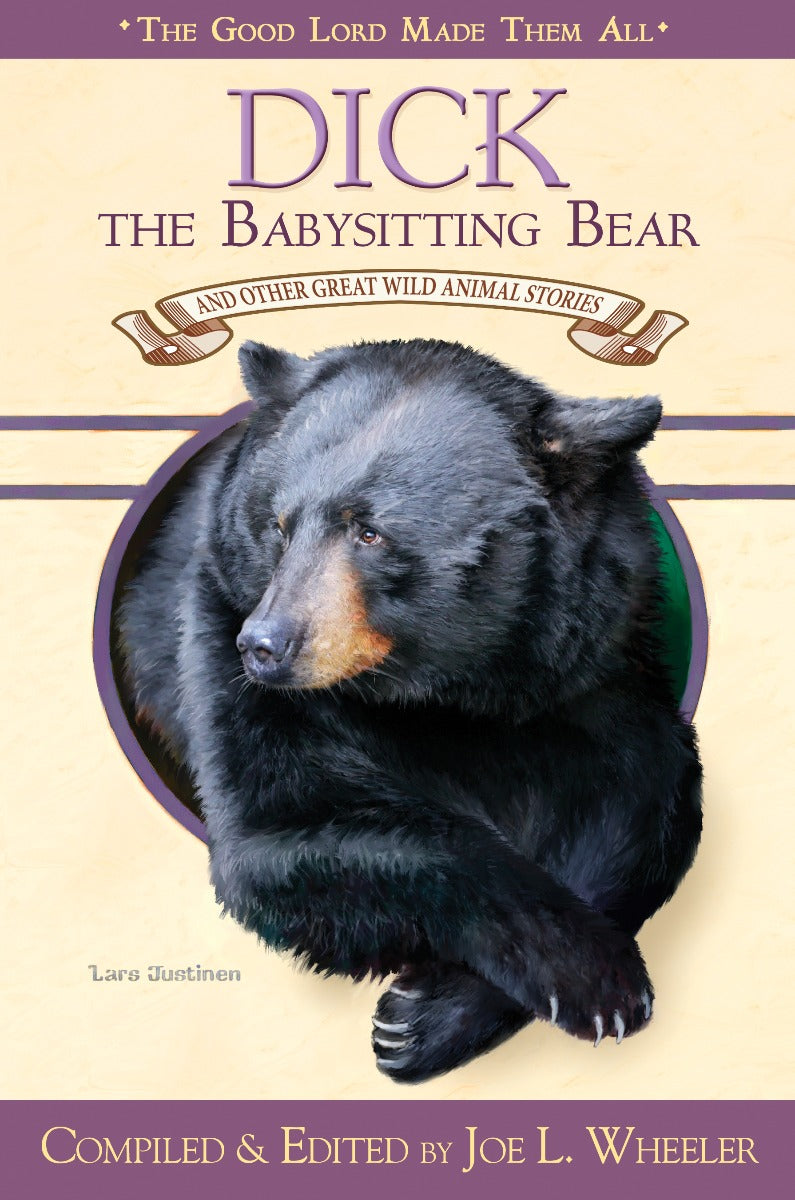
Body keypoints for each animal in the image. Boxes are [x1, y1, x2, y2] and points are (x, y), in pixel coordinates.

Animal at [117, 337, 702, 1083]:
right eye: (278, 524)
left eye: (370, 533)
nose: (263, 646)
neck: (444, 694)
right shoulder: (221, 635)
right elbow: (287, 830)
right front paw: (592, 976)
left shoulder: (591, 672)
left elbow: (643, 806)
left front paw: (434, 1017)